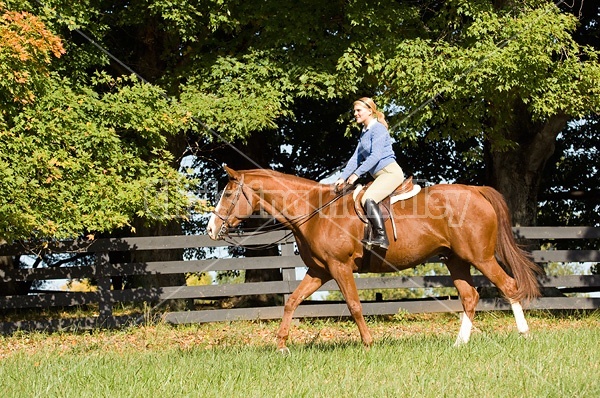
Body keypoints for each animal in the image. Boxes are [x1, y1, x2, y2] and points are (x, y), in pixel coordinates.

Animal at [207, 165, 544, 352]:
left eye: (228, 194)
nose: (210, 229)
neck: (315, 210)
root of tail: (475, 191)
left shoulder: (339, 268)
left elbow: (355, 306)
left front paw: (368, 343)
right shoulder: (320, 271)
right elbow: (291, 302)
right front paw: (281, 345)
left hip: (481, 257)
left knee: (509, 286)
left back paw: (524, 334)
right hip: (455, 260)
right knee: (469, 296)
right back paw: (459, 343)